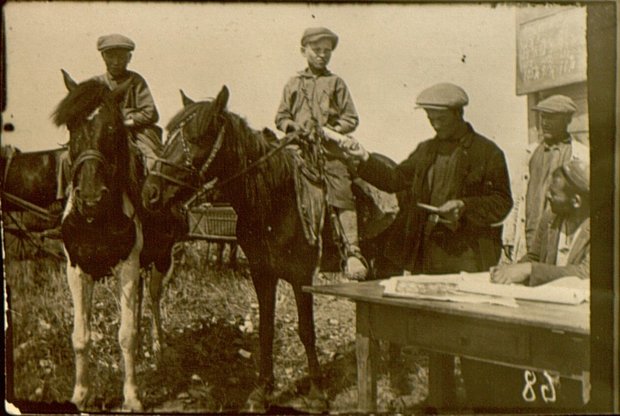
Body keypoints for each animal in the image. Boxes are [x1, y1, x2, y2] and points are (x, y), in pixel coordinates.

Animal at [53, 70, 182, 412]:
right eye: (72, 127)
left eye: (111, 129)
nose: (90, 198)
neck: (98, 219)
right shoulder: (77, 270)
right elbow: (81, 336)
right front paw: (80, 394)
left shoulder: (128, 266)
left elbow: (126, 335)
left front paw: (133, 396)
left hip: (160, 262)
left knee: (153, 301)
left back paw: (160, 350)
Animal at [140, 86, 392, 412]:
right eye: (169, 134)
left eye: (197, 137)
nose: (150, 193)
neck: (274, 201)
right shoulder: (262, 275)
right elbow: (265, 330)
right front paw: (262, 390)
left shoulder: (301, 278)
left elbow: (307, 331)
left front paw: (317, 393)